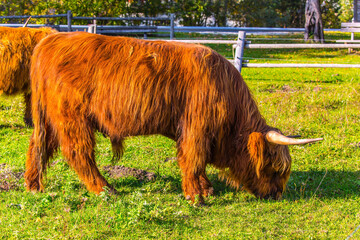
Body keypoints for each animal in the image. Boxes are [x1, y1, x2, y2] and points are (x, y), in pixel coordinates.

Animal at [26, 31, 324, 202]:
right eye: (275, 167)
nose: (277, 195)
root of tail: (50, 40)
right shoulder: (197, 126)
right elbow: (193, 158)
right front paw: (196, 197)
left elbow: (196, 161)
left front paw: (206, 188)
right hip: (72, 117)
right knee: (78, 152)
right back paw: (104, 189)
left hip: (49, 118)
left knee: (38, 146)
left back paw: (33, 186)